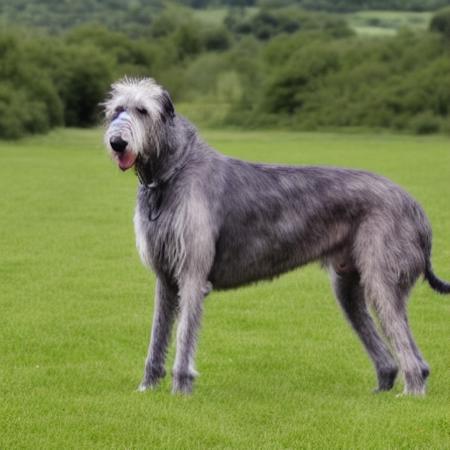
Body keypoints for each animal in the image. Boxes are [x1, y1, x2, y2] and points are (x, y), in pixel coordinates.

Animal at [103, 76, 450, 394]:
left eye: (143, 111)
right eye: (117, 110)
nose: (117, 143)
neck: (172, 171)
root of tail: (415, 206)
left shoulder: (192, 273)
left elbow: (185, 333)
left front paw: (181, 389)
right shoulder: (165, 276)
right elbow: (157, 335)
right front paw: (147, 387)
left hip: (381, 276)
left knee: (408, 351)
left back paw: (411, 391)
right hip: (348, 286)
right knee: (395, 352)